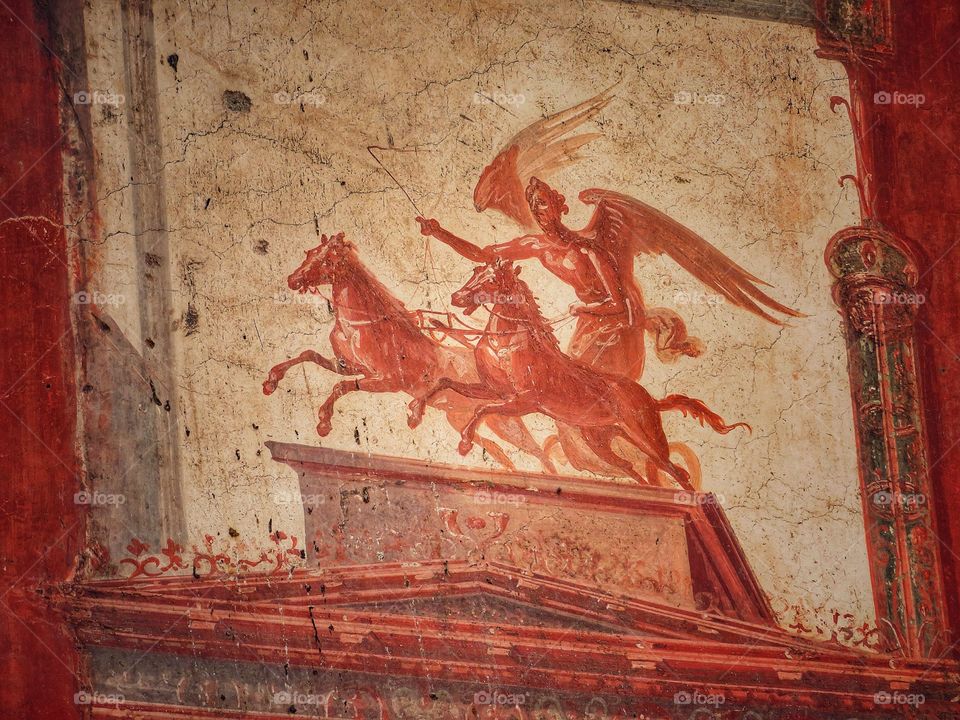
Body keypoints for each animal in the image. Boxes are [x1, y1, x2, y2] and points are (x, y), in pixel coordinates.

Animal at [264, 233, 556, 476]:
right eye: (310, 253)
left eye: (325, 259)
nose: (293, 280)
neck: (364, 324)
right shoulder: (347, 365)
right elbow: (308, 354)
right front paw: (271, 381)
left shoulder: (385, 381)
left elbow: (340, 387)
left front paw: (324, 422)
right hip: (461, 417)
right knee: (496, 449)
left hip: (507, 421)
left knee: (536, 452)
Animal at [404, 258, 752, 490]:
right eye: (475, 272)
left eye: (491, 280)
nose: (457, 298)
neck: (508, 342)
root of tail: (651, 400)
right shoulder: (492, 390)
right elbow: (446, 382)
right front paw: (414, 412)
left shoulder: (522, 402)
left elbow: (480, 410)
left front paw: (464, 443)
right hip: (599, 439)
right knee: (628, 467)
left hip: (646, 438)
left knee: (674, 471)